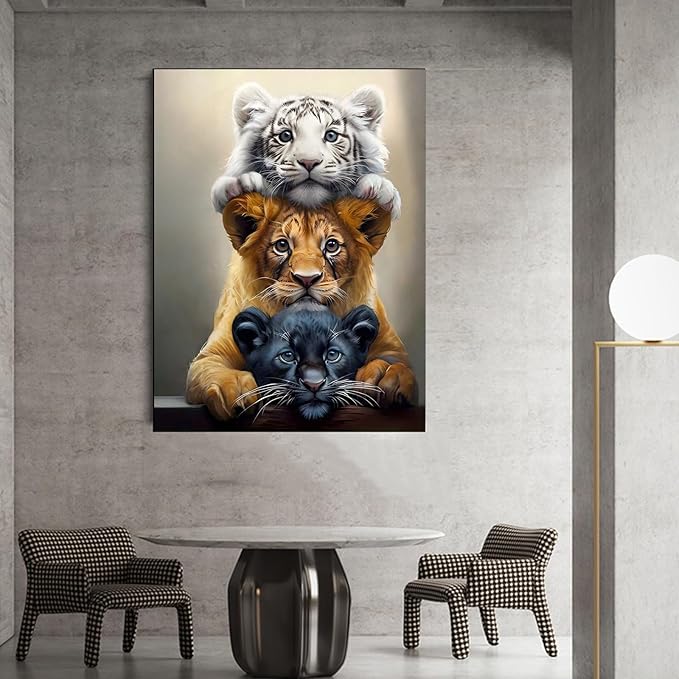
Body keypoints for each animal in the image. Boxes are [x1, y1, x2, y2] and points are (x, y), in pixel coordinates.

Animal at [186, 193, 416, 420]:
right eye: (282, 245)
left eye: (331, 246)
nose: (307, 279)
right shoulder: (211, 355)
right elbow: (213, 368)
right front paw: (234, 390)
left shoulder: (390, 346)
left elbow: (399, 364)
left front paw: (385, 376)